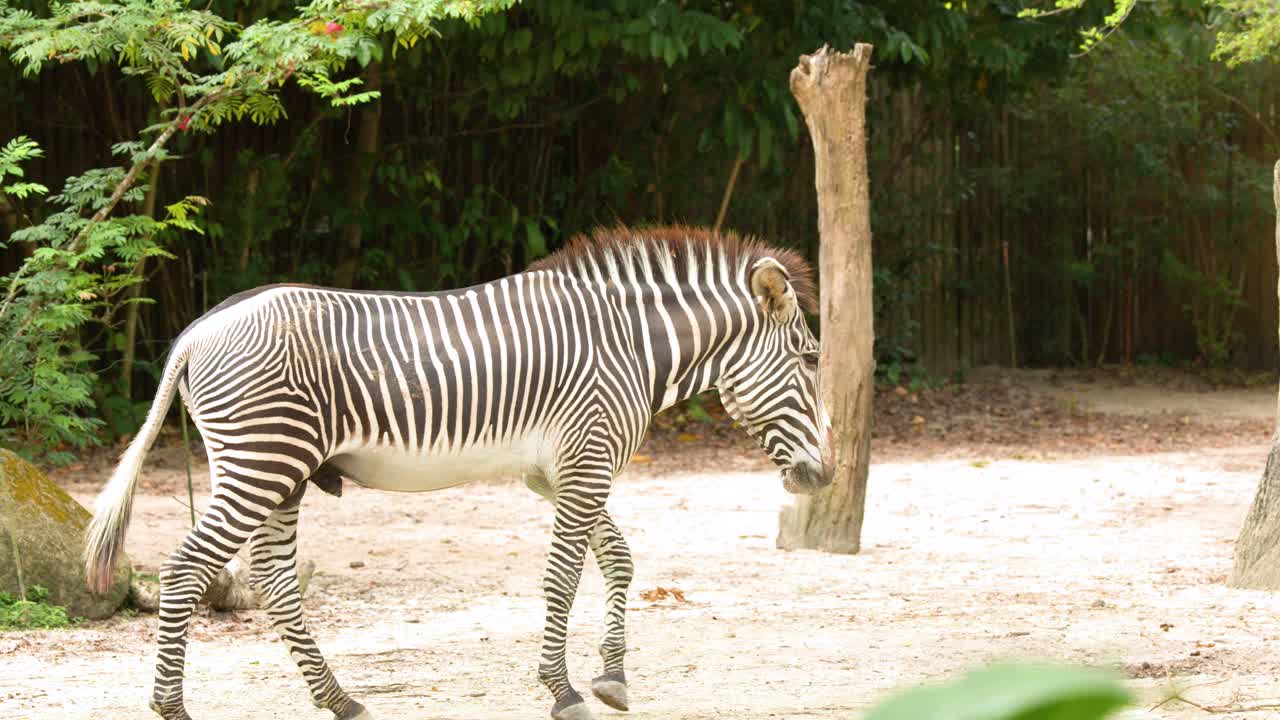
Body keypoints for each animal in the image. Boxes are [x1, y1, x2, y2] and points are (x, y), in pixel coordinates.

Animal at [84, 225, 833, 720]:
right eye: (810, 359)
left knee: (272, 580)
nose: (824, 476)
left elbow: (618, 559)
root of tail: (196, 332)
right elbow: (564, 578)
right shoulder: (586, 464)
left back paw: (341, 699)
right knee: (186, 569)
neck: (631, 345)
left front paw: (612, 677)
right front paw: (562, 690)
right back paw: (174, 707)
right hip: (261, 461)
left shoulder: (558, 473)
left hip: (282, 472)